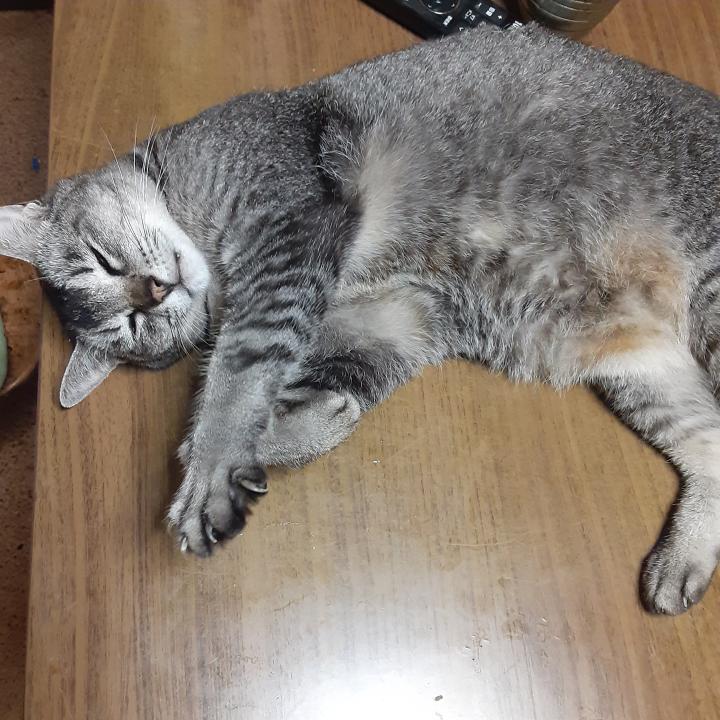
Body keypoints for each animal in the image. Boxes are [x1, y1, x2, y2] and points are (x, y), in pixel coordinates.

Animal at [1, 24, 719, 616]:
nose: (152, 292)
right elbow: (313, 388)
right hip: (643, 374)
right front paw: (290, 433)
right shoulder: (391, 317)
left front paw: (211, 467)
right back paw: (681, 564)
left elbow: (238, 373)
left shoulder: (287, 234)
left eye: (99, 262)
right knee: (710, 445)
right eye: (130, 327)